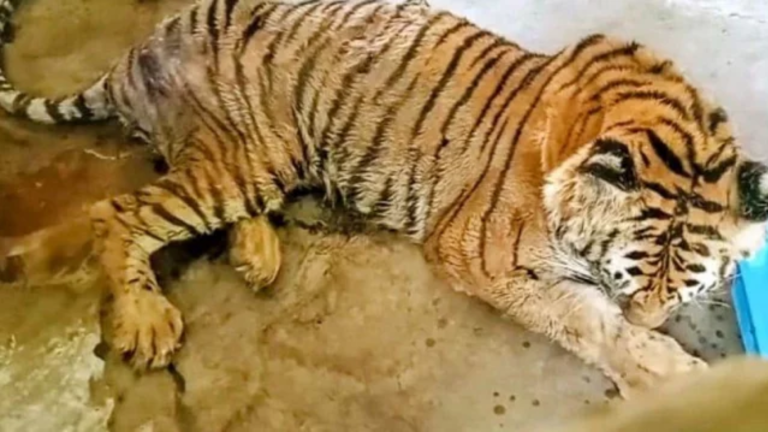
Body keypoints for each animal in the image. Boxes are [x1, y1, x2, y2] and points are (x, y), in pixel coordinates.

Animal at [1, 0, 766, 399]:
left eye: (685, 296)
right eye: (623, 280)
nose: (654, 319)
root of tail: (135, 51)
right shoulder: (476, 254)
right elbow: (585, 320)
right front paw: (666, 372)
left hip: (252, 153)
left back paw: (257, 253)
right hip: (246, 158)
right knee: (116, 213)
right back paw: (147, 319)